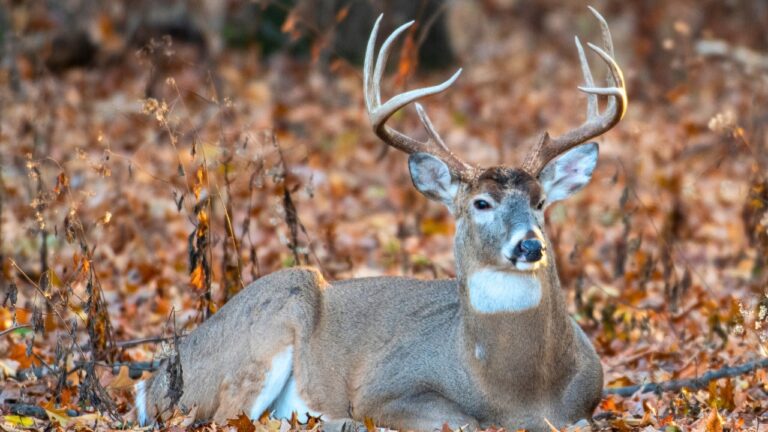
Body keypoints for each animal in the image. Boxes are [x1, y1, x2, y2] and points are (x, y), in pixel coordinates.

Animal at [135, 7, 626, 432]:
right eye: (481, 203)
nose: (530, 245)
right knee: (227, 418)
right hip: (268, 321)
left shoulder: (585, 403)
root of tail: (153, 384)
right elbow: (464, 421)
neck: (518, 394)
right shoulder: (384, 387)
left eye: (541, 201)